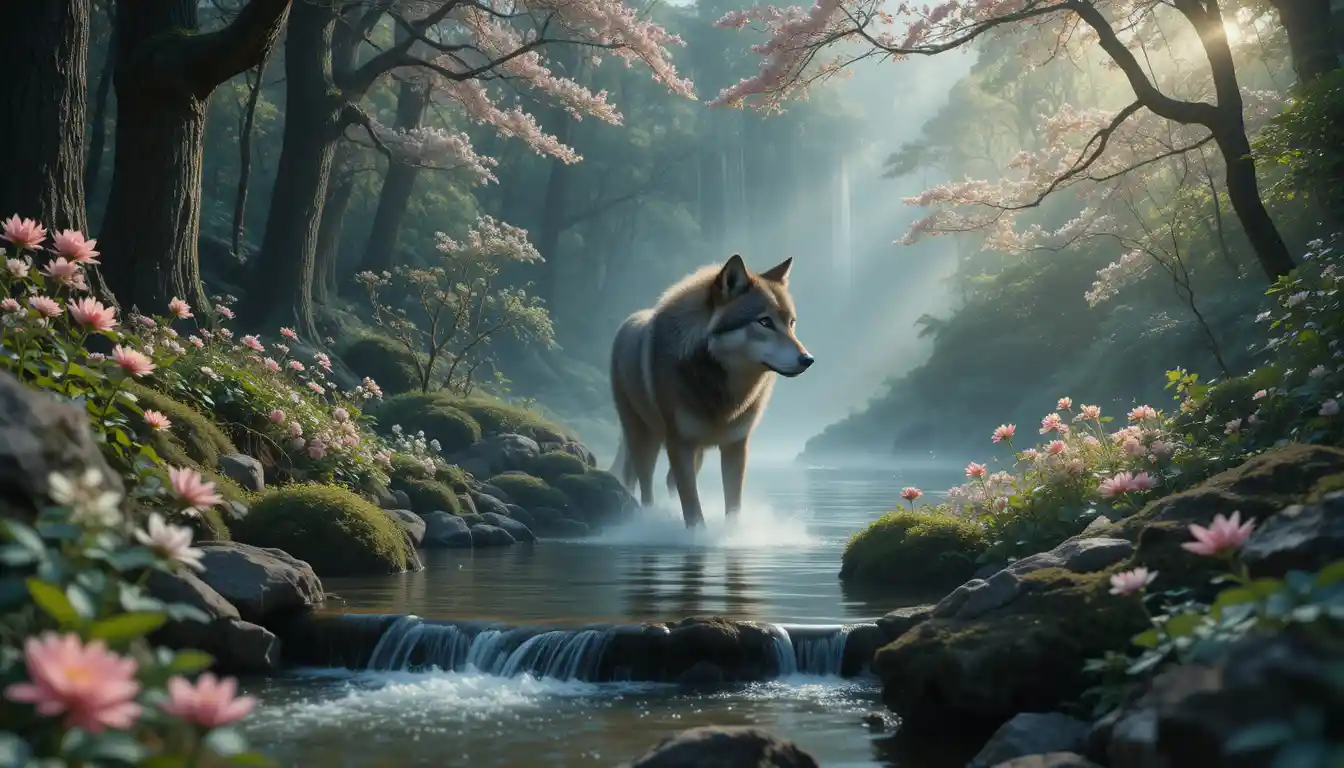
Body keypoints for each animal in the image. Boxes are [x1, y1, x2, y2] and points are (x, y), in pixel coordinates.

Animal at [609, 254, 814, 529]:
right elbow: (693, 510)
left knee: (667, 481)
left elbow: (733, 505)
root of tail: (628, 322)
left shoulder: (736, 446)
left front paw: (732, 535)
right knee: (646, 486)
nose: (808, 359)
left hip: (696, 452)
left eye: (791, 323)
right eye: (765, 322)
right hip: (644, 439)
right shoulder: (679, 445)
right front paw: (698, 535)